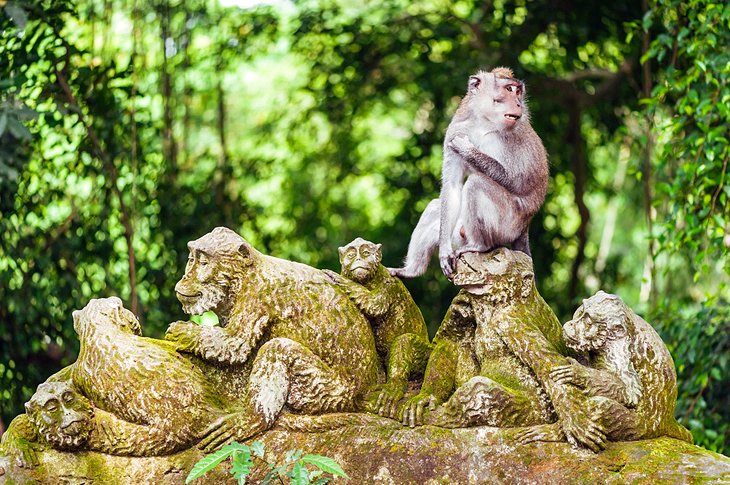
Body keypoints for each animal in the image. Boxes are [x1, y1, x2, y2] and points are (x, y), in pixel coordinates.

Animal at [386, 66, 544, 278]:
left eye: (518, 91)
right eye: (509, 89)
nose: (519, 103)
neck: (484, 123)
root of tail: (523, 228)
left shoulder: (515, 135)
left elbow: (518, 182)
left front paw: (467, 150)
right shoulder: (455, 129)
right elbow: (452, 187)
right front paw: (444, 252)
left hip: (507, 226)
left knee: (476, 184)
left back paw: (480, 246)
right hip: (460, 232)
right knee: (436, 207)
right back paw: (411, 271)